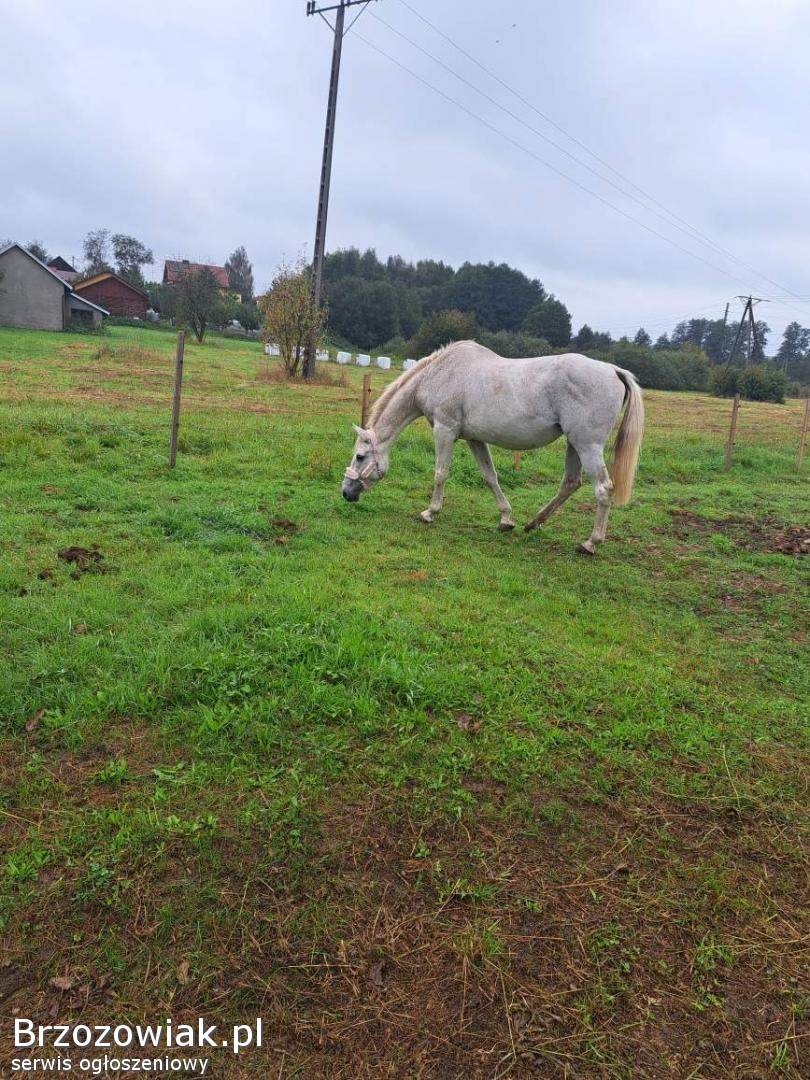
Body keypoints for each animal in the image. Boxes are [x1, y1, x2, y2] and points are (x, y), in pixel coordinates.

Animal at [341, 340, 644, 555]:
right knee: (570, 483)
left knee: (603, 489)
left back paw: (590, 543)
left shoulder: (445, 430)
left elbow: (440, 473)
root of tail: (613, 370)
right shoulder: (475, 439)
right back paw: (533, 523)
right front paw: (506, 519)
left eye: (360, 456)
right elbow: (490, 477)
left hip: (587, 445)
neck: (438, 373)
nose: (346, 493)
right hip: (574, 444)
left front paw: (430, 512)